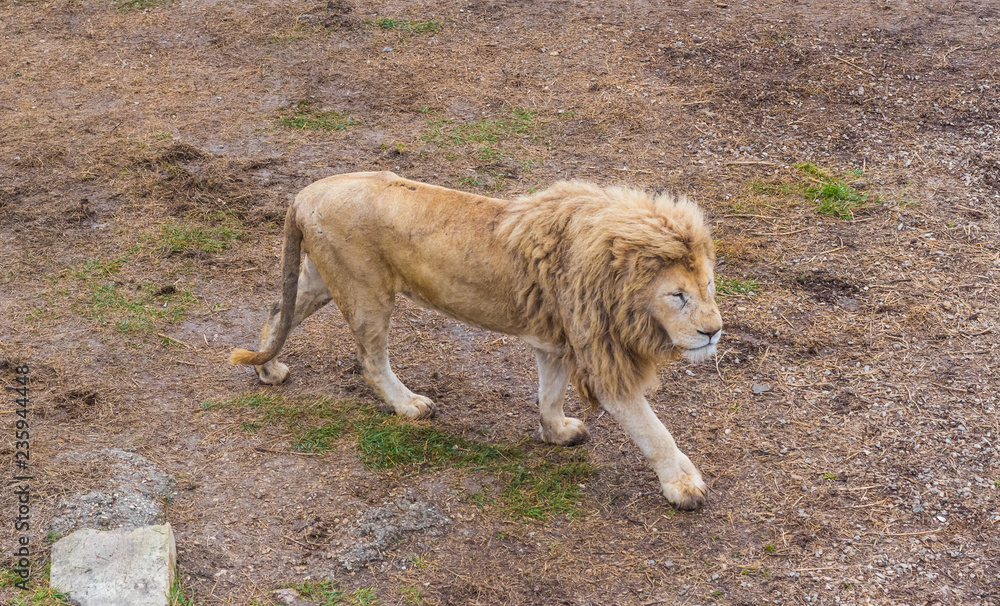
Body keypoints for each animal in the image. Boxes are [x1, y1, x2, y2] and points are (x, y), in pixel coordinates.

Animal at [231, 172, 723, 509]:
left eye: (709, 287)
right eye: (677, 295)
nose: (714, 331)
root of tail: (306, 192)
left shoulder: (554, 340)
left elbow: (550, 394)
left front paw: (556, 433)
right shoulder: (602, 358)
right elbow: (653, 430)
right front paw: (683, 485)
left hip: (322, 280)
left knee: (277, 310)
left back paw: (267, 368)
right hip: (366, 291)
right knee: (370, 361)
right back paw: (409, 404)